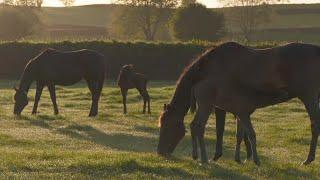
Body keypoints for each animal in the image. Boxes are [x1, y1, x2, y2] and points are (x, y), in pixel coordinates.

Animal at [158, 42, 320, 166]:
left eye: (167, 126)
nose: (160, 152)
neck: (213, 64)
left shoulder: (221, 107)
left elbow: (221, 130)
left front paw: (218, 155)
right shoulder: (237, 108)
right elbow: (242, 133)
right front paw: (246, 157)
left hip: (309, 97)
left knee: (314, 125)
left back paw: (308, 159)